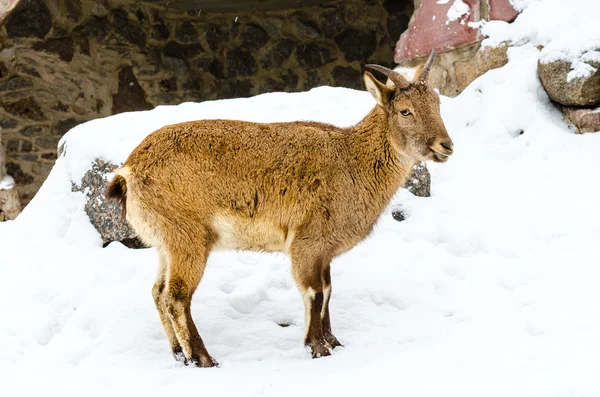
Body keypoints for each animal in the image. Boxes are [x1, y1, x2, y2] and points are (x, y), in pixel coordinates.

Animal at [106, 51, 450, 366]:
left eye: (437, 104)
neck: (352, 160)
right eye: (405, 110)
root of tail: (128, 171)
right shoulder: (306, 243)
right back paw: (203, 358)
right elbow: (314, 293)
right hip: (188, 240)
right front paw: (317, 348)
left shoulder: (324, 251)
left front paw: (333, 341)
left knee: (157, 292)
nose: (445, 145)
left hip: (166, 244)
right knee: (175, 297)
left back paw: (179, 353)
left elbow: (328, 290)